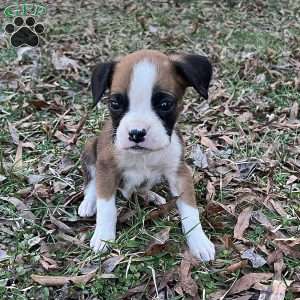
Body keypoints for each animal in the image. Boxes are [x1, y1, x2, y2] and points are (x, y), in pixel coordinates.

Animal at [79, 50, 216, 262]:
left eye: (165, 104)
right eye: (115, 103)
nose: (136, 133)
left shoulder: (179, 173)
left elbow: (190, 210)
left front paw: (199, 241)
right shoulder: (107, 169)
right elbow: (106, 207)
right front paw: (103, 237)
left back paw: (151, 195)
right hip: (90, 149)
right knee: (92, 183)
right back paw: (88, 203)